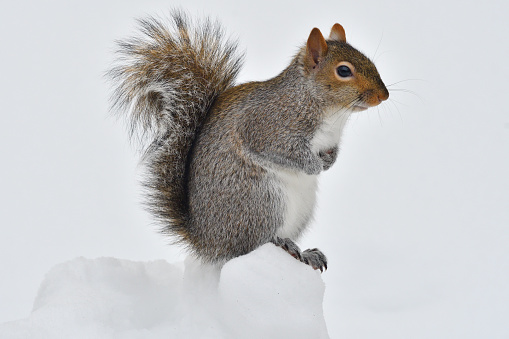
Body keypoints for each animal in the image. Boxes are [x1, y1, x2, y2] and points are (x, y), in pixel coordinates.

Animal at [108, 9, 388, 272]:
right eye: (344, 71)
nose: (383, 95)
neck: (331, 112)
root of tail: (207, 241)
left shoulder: (329, 140)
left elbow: (331, 151)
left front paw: (329, 162)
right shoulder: (267, 127)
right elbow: (283, 151)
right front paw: (314, 166)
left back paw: (307, 254)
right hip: (261, 201)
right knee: (249, 245)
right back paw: (283, 243)